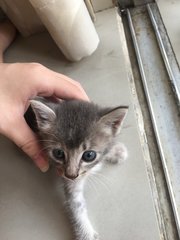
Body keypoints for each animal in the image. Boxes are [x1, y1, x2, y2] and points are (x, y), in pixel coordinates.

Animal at [25, 98, 128, 240]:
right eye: (58, 153)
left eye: (89, 155)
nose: (71, 175)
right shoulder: (71, 183)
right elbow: (76, 205)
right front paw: (86, 233)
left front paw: (116, 150)